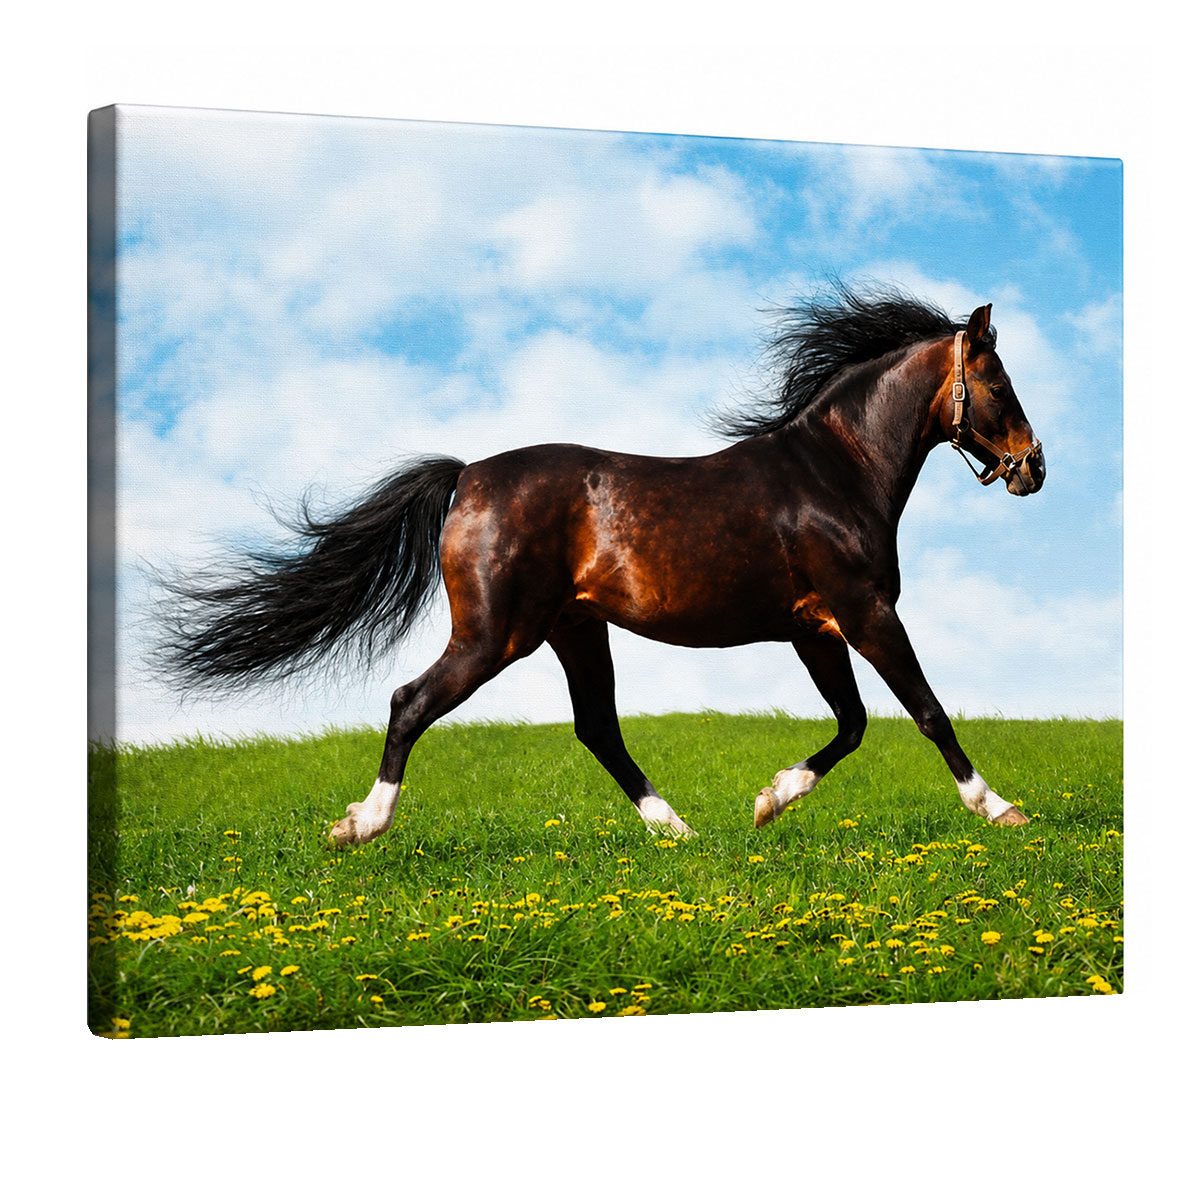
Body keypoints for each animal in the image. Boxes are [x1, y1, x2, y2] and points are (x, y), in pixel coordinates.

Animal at [159, 284, 1045, 846]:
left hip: (575, 631)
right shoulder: (865, 612)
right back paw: (359, 826)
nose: (1035, 467)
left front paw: (769, 801)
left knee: (598, 729)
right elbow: (925, 711)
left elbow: (854, 724)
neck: (833, 472)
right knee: (412, 702)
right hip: (497, 634)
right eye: (998, 382)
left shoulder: (814, 629)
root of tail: (467, 476)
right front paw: (1000, 809)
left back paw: (678, 829)